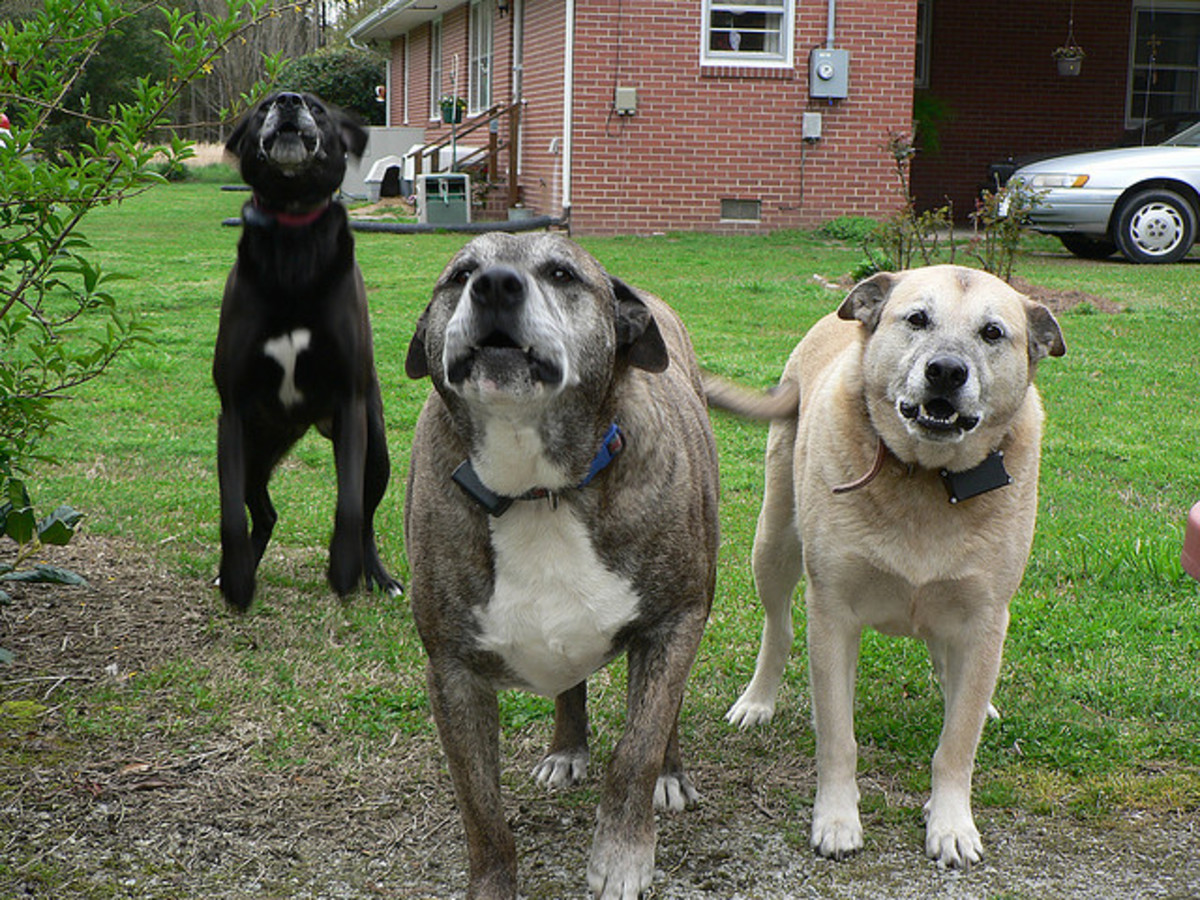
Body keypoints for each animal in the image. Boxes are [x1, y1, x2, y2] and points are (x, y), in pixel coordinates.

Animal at [216, 91, 403, 614]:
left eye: (318, 109)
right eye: (262, 107)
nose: (288, 100)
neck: (293, 227)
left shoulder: (350, 405)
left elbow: (349, 506)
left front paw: (344, 571)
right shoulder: (232, 411)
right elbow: (230, 515)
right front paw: (236, 579)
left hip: (377, 451)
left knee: (366, 515)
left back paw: (377, 575)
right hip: (256, 451)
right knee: (263, 513)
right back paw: (239, 569)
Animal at [705, 266, 1065, 868]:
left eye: (993, 332)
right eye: (917, 318)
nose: (946, 370)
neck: (925, 479)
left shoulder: (986, 617)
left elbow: (957, 741)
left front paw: (951, 822)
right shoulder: (832, 614)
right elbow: (837, 737)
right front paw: (836, 819)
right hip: (772, 545)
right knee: (778, 629)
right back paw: (757, 700)